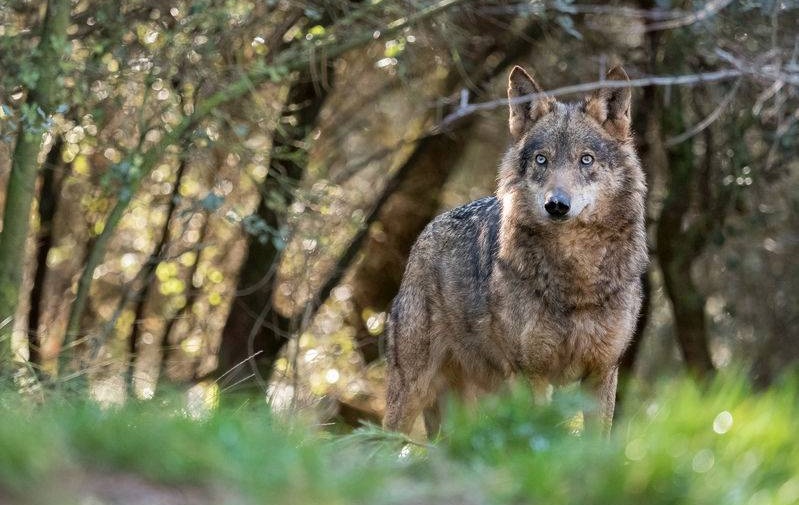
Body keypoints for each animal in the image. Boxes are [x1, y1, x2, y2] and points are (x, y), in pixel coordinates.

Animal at [382, 65, 648, 436]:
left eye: (586, 160)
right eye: (541, 160)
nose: (557, 205)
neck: (576, 279)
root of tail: (427, 231)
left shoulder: (602, 372)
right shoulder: (531, 374)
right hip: (413, 392)